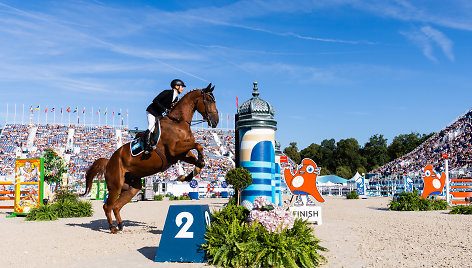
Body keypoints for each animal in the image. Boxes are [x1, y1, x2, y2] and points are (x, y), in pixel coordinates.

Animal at [80, 83, 219, 232]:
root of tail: (109, 161)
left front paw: (187, 175)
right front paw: (192, 168)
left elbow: (197, 158)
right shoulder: (175, 150)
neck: (178, 123)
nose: (216, 121)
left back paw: (121, 225)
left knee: (116, 206)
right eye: (208, 100)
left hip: (132, 187)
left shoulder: (181, 153)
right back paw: (112, 228)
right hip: (115, 186)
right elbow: (199, 145)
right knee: (108, 206)